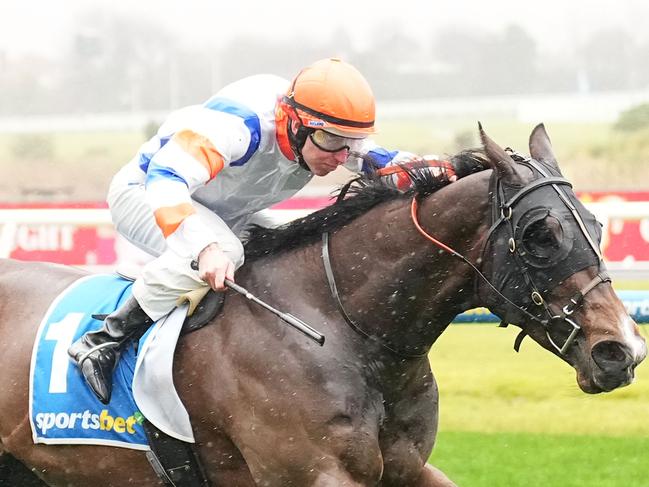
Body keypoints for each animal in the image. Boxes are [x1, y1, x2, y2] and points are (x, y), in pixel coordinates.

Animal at [0, 124, 644, 486]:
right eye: (540, 235)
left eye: (597, 225)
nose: (622, 350)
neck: (341, 328)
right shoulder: (313, 473)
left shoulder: (406, 469)